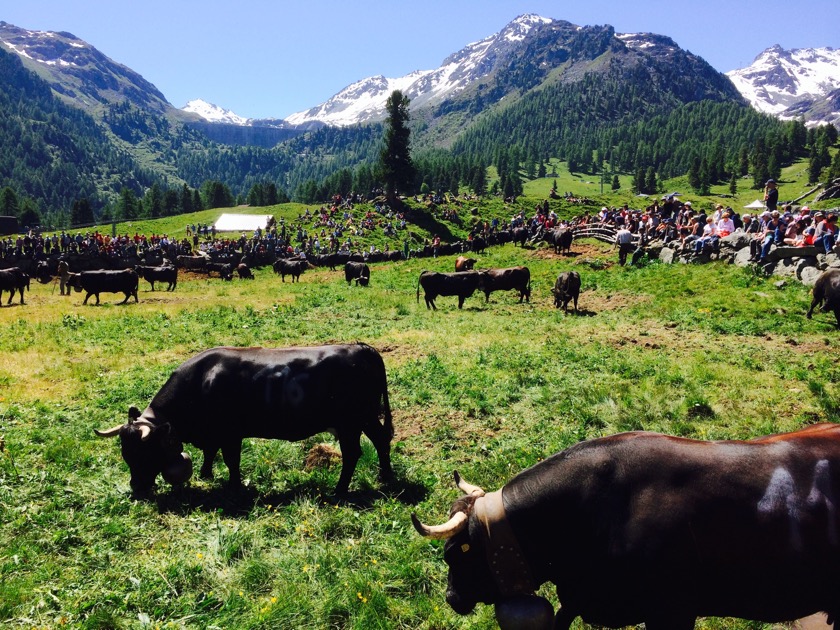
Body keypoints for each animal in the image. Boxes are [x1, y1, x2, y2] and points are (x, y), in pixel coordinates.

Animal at [93, 346, 396, 498]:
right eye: (125, 453)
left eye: (143, 453)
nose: (136, 487)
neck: (201, 381)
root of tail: (364, 349)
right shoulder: (215, 435)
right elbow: (210, 452)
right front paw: (206, 473)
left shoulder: (231, 434)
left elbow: (231, 460)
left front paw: (235, 487)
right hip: (365, 418)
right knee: (381, 441)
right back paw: (385, 477)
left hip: (352, 422)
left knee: (353, 453)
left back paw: (339, 491)